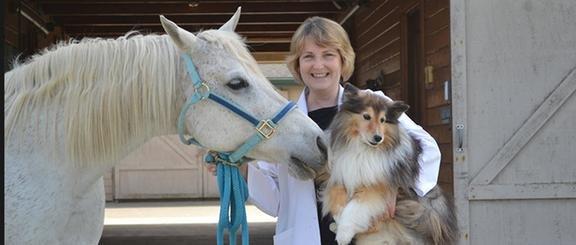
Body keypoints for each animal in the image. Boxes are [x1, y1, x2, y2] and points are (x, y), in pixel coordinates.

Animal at [322, 83, 456, 244]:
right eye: (366, 116)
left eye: (383, 120)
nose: (378, 138)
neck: (363, 149)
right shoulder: (340, 174)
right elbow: (337, 200)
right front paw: (338, 221)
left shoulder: (377, 187)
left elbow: (354, 207)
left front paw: (344, 233)